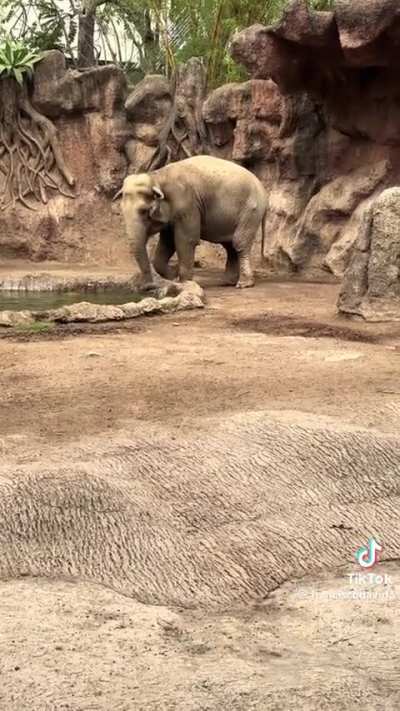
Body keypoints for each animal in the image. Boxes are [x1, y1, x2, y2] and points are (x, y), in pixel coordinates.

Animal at [120, 155, 268, 289]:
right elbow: (167, 243)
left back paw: (243, 284)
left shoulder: (187, 205)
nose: (147, 286)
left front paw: (184, 283)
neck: (157, 176)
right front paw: (173, 275)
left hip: (251, 211)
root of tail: (263, 189)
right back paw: (227, 282)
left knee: (239, 242)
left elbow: (186, 240)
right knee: (229, 245)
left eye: (144, 211)